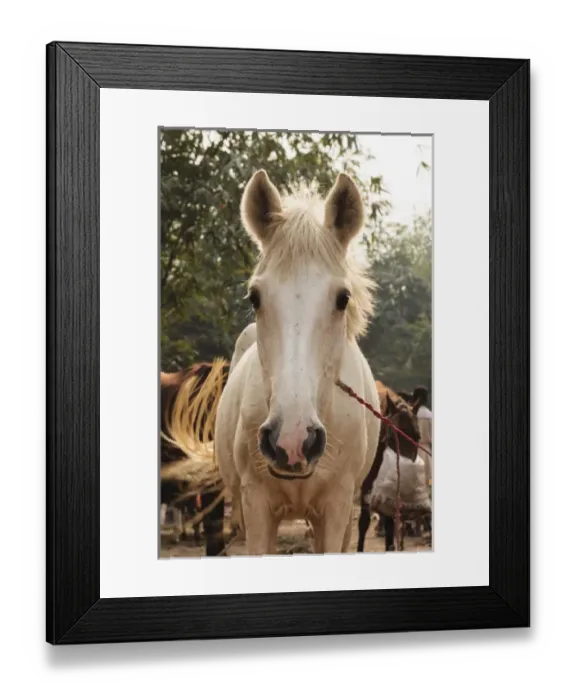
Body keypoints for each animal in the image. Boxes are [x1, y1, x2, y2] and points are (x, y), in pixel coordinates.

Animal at [356, 386, 430, 552]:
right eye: (392, 438)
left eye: (417, 437)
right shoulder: (366, 484)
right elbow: (363, 522)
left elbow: (390, 522)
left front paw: (390, 545)